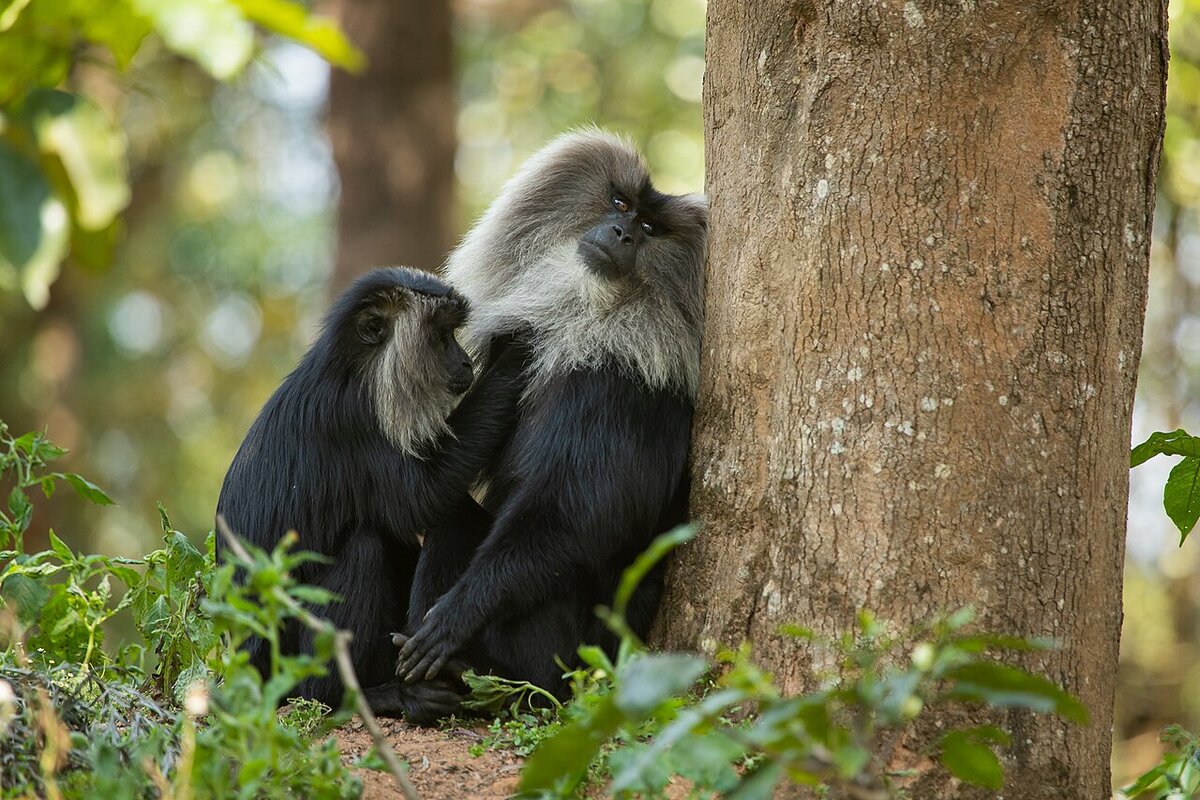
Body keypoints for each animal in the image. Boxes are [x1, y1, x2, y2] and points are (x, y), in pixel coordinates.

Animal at [215, 266, 525, 723]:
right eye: (440, 336)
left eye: (452, 333)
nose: (465, 362)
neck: (354, 371)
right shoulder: (351, 420)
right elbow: (422, 497)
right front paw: (518, 351)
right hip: (288, 660)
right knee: (364, 546)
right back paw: (368, 697)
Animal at [394, 129, 707, 696]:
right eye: (620, 204)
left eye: (651, 229)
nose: (622, 233)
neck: (591, 310)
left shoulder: (624, 386)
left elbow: (581, 513)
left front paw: (457, 615)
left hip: (564, 656)